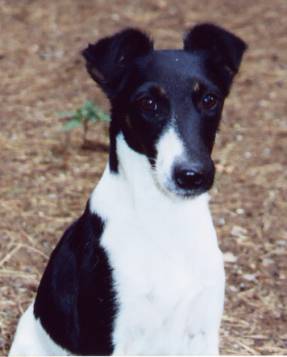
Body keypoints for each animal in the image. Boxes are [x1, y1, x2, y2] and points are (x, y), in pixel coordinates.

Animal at [9, 23, 248, 354]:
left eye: (210, 99)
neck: (166, 220)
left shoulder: (203, 332)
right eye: (148, 103)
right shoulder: (106, 338)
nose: (191, 175)